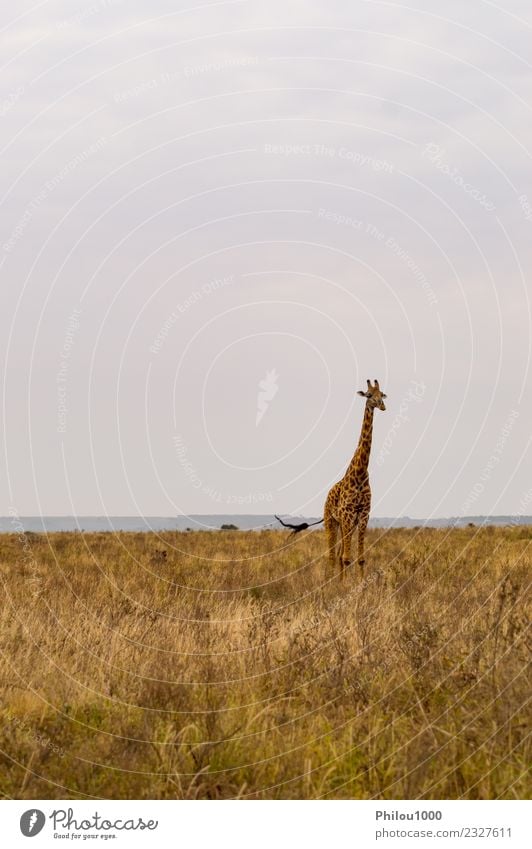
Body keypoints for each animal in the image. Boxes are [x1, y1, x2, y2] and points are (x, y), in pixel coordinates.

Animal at [324, 378, 386, 576]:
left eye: (382, 394)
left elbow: (360, 559)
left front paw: (359, 583)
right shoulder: (347, 515)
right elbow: (346, 558)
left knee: (338, 555)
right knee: (332, 556)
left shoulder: (364, 515)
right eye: (369, 395)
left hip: (345, 524)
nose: (383, 406)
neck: (360, 473)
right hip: (331, 521)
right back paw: (329, 580)